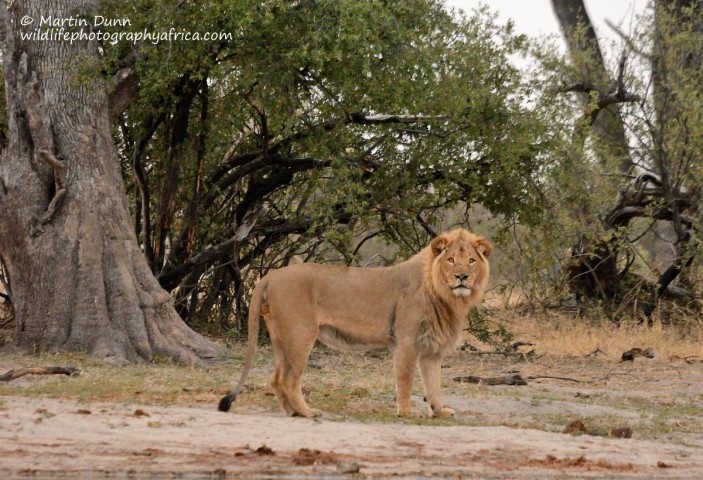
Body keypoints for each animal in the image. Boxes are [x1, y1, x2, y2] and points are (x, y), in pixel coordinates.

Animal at [217, 229, 492, 416]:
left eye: (471, 260)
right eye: (450, 260)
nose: (462, 277)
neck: (446, 296)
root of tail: (270, 276)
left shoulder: (431, 349)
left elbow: (434, 384)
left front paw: (439, 412)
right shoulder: (406, 343)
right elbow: (405, 381)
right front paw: (405, 412)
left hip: (280, 337)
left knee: (276, 379)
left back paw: (293, 413)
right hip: (300, 334)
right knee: (288, 379)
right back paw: (307, 412)